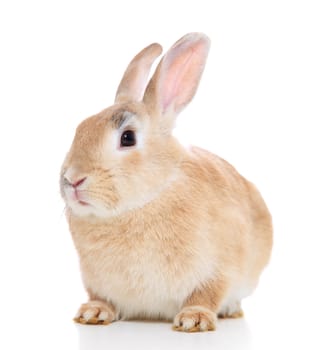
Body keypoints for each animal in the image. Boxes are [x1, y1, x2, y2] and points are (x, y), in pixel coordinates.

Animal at [59, 32, 272, 330]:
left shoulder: (218, 269)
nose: (73, 179)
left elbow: (207, 294)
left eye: (128, 138)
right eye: (80, 128)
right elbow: (101, 297)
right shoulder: (94, 280)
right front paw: (94, 312)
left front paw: (194, 319)